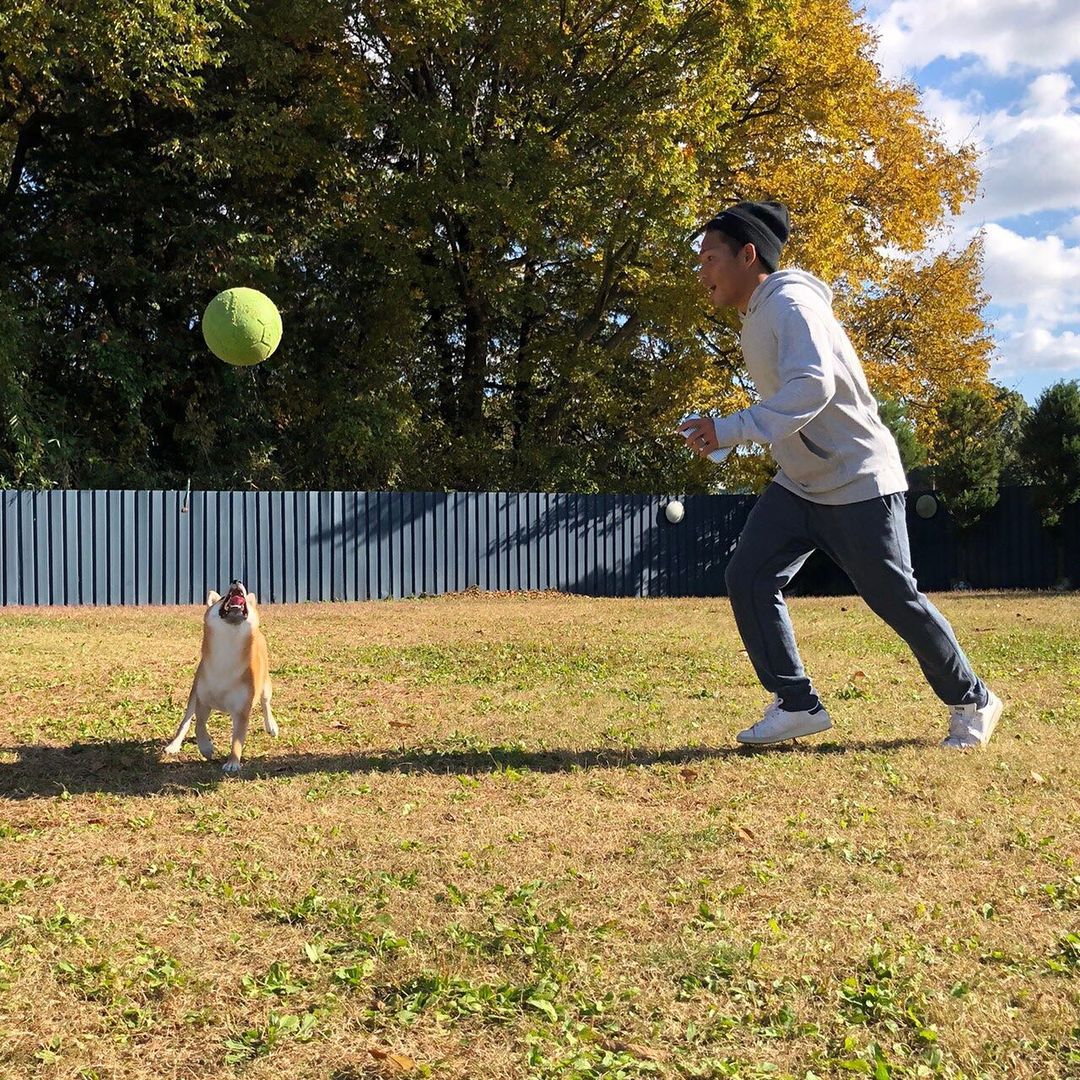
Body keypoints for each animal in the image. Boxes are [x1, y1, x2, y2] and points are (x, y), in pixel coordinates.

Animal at [163, 578, 276, 773]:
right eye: (223, 597)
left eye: (244, 596)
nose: (237, 581)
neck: (227, 652)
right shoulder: (202, 701)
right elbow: (199, 726)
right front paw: (206, 748)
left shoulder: (242, 710)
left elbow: (237, 739)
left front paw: (233, 761)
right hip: (194, 693)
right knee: (186, 721)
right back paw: (174, 745)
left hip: (265, 687)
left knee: (265, 703)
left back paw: (271, 726)